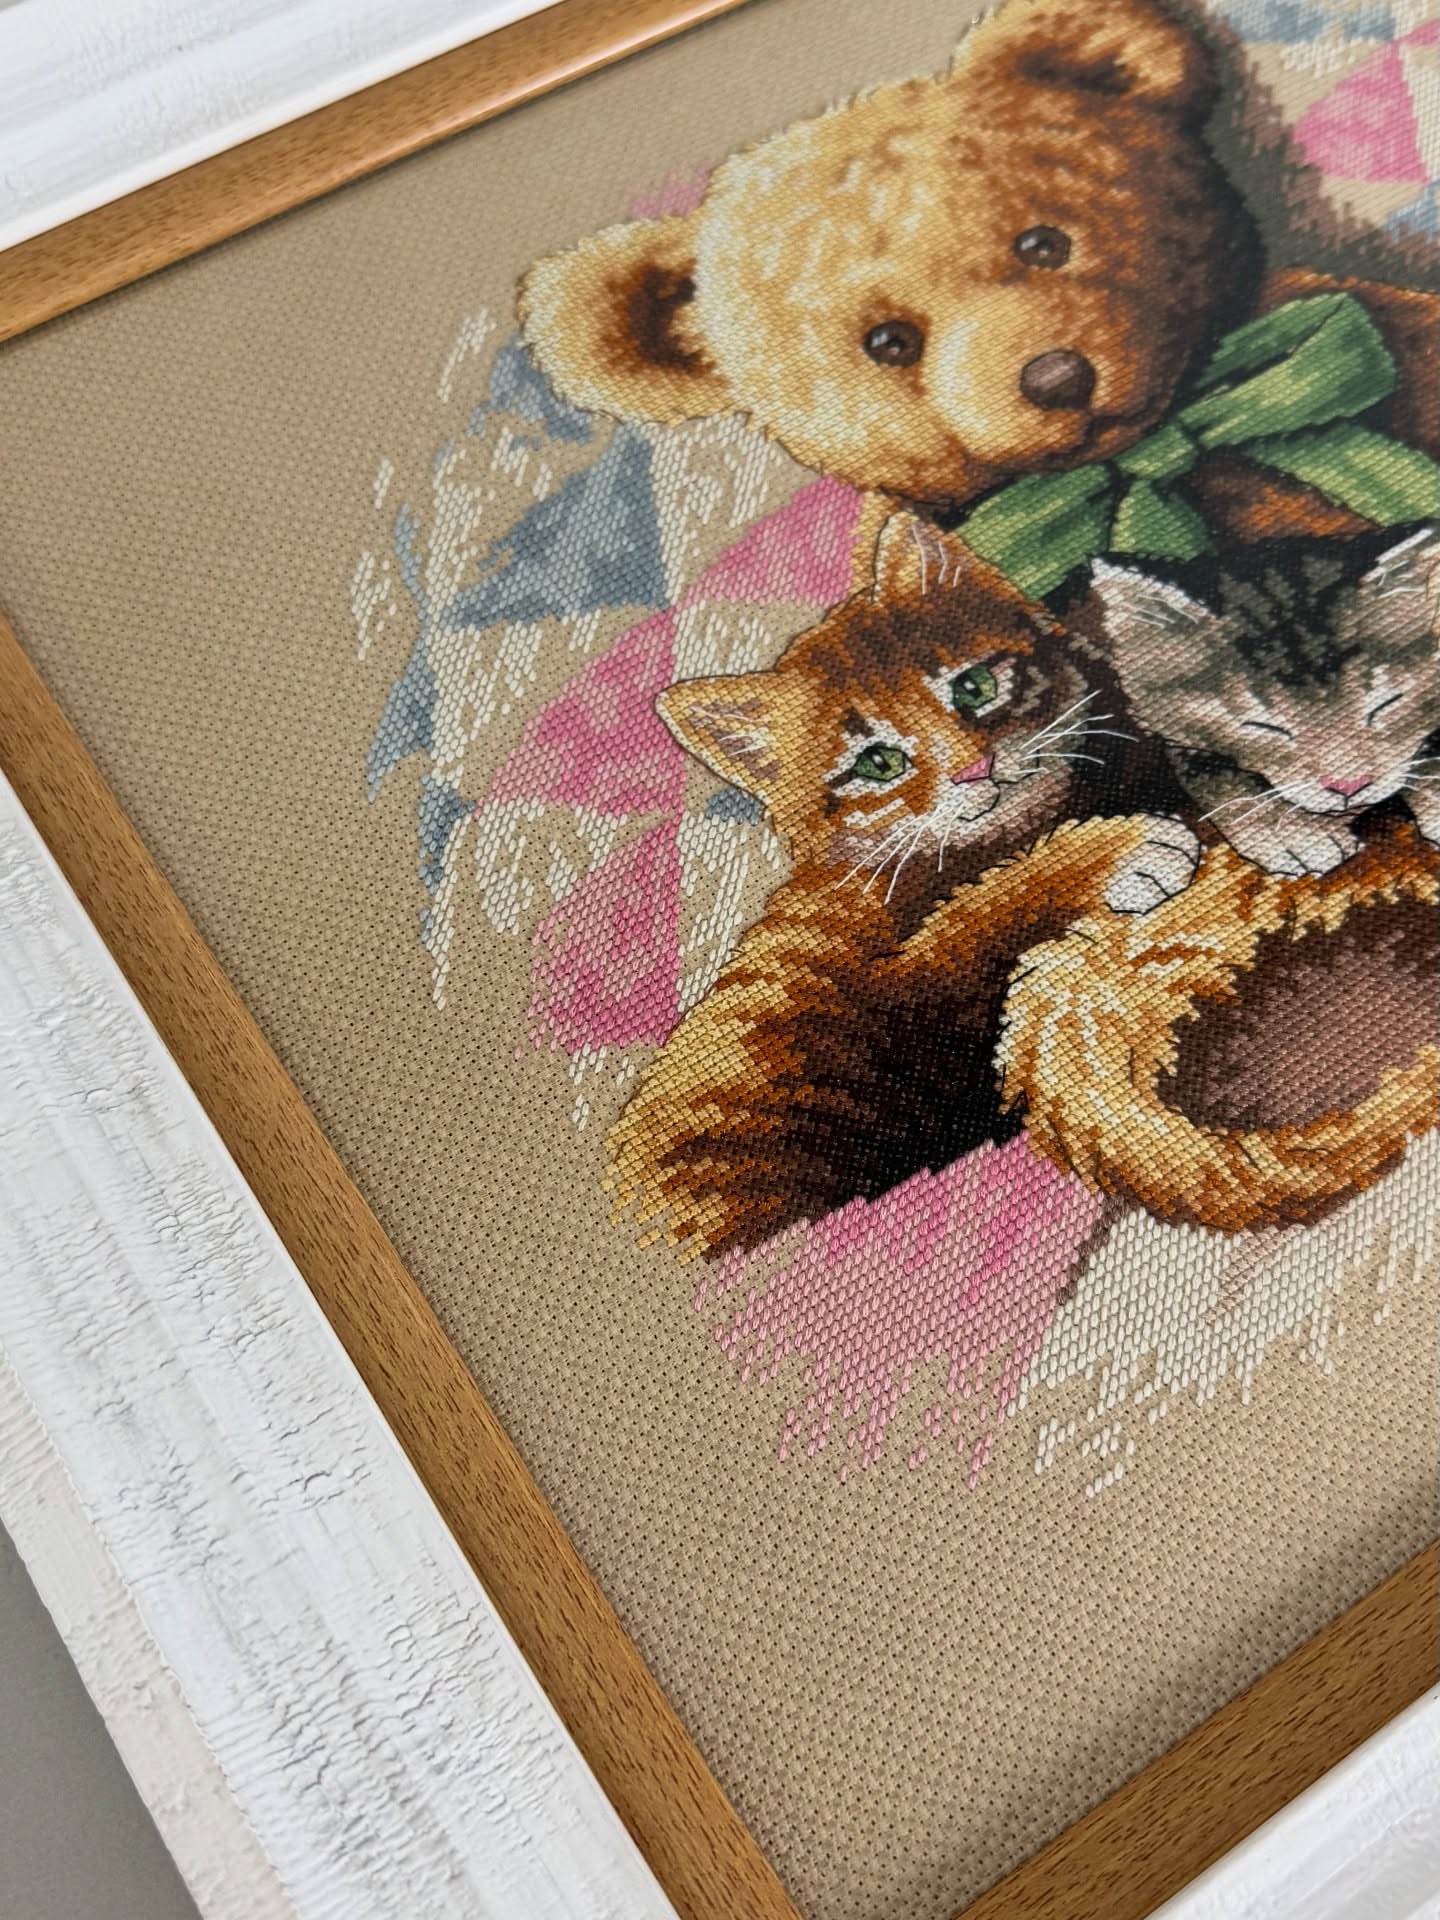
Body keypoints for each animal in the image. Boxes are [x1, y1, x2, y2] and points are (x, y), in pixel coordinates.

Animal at [606, 514, 1194, 1259]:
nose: (976, 769)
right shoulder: (895, 1001)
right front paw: (1117, 852)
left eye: (974, 687)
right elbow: (980, 916)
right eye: (879, 763)